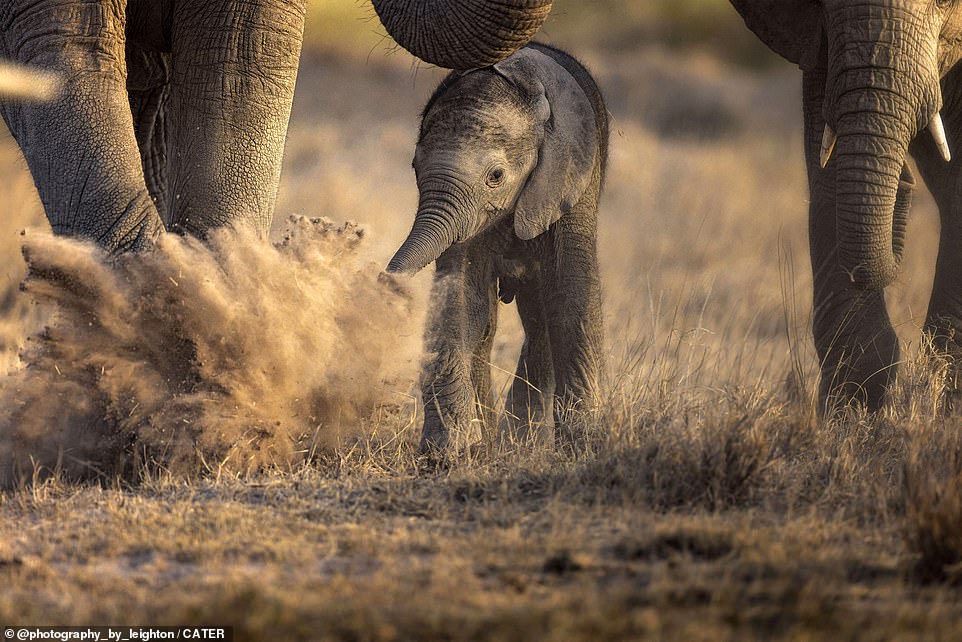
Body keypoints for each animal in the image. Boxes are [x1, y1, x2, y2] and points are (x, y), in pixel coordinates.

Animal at [384, 43, 604, 450]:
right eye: (414, 166)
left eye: (496, 176)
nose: (384, 281)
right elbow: (461, 299)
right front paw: (449, 452)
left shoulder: (572, 181)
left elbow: (570, 293)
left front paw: (582, 446)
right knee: (490, 328)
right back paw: (496, 440)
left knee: (539, 319)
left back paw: (521, 440)